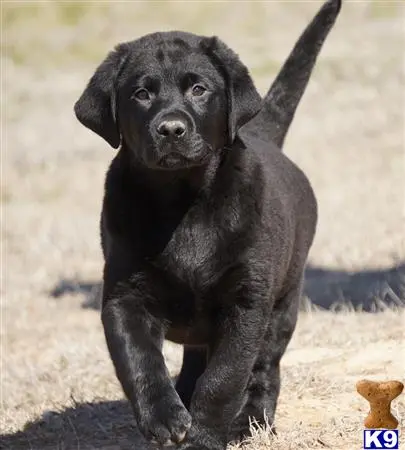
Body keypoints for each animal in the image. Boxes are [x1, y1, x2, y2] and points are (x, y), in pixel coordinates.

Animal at [74, 1, 340, 448]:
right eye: (141, 94)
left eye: (198, 89)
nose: (171, 129)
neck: (183, 202)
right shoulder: (123, 296)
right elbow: (139, 361)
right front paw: (165, 419)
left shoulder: (246, 304)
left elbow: (225, 378)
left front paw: (203, 435)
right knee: (195, 361)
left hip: (283, 304)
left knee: (264, 369)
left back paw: (252, 420)